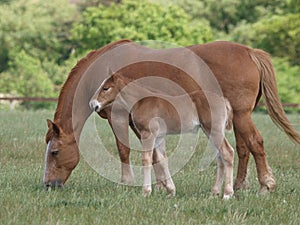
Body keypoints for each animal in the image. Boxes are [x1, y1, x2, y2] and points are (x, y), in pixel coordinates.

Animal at [89, 72, 234, 199]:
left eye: (106, 88)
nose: (92, 104)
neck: (141, 101)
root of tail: (224, 100)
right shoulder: (159, 137)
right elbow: (162, 159)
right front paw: (171, 190)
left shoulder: (148, 134)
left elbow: (146, 159)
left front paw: (146, 192)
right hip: (209, 131)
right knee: (219, 157)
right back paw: (214, 193)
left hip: (214, 130)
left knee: (228, 152)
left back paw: (227, 194)